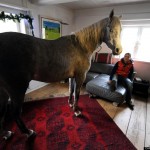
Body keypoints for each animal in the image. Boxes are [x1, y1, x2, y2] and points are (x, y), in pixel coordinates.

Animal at [0, 9, 122, 140]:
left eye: (121, 30)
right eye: (110, 29)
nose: (118, 50)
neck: (81, 46)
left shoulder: (72, 77)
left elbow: (70, 91)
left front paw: (70, 104)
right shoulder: (80, 76)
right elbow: (77, 94)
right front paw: (76, 111)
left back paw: (6, 133)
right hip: (17, 89)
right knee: (15, 113)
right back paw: (29, 132)